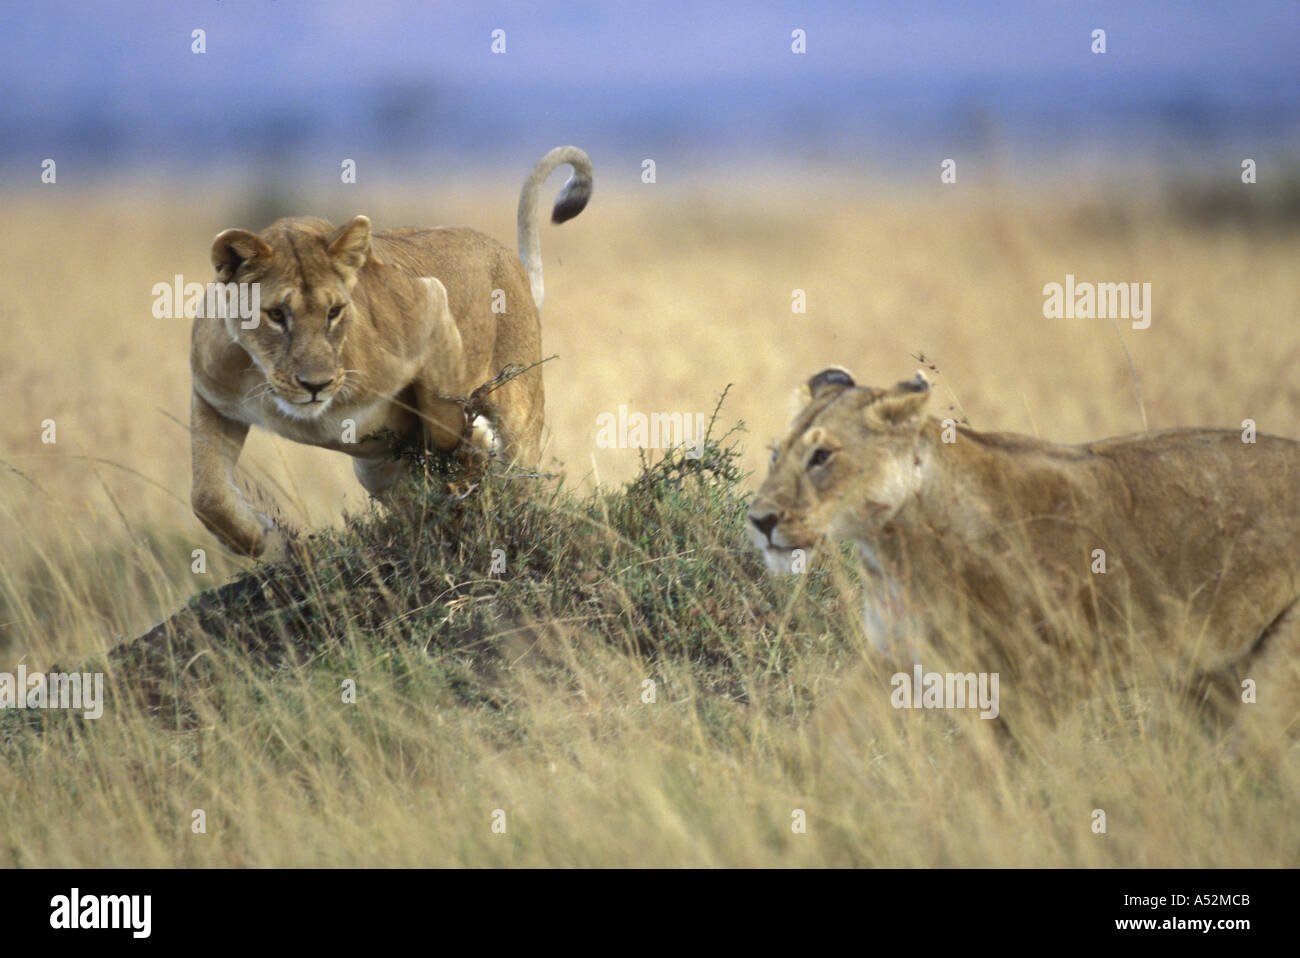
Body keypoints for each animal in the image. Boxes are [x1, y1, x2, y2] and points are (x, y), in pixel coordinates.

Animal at [190, 146, 592, 557]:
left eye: (335, 312)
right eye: (275, 315)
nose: (315, 385)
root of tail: (505, 255)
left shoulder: (430, 299)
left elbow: (443, 418)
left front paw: (476, 441)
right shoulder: (212, 394)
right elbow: (207, 495)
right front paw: (267, 540)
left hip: (520, 419)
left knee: (521, 487)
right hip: (372, 469)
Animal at [747, 366, 1300, 745]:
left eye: (822, 457)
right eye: (776, 454)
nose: (759, 520)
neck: (890, 547)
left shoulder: (1045, 680)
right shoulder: (894, 658)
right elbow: (814, 741)